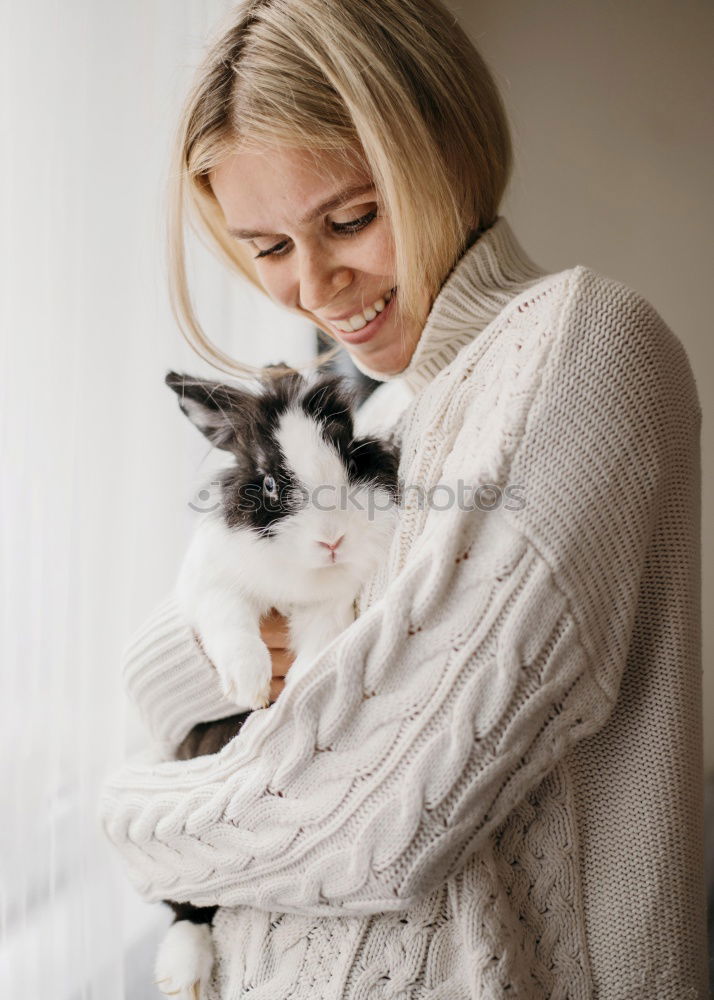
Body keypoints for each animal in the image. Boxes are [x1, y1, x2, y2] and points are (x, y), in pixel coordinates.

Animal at [152, 366, 400, 1000]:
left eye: (352, 456)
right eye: (268, 483)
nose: (332, 540)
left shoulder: (329, 607)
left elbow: (320, 646)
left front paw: (301, 696)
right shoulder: (214, 588)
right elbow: (232, 626)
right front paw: (249, 687)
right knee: (186, 907)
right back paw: (181, 973)